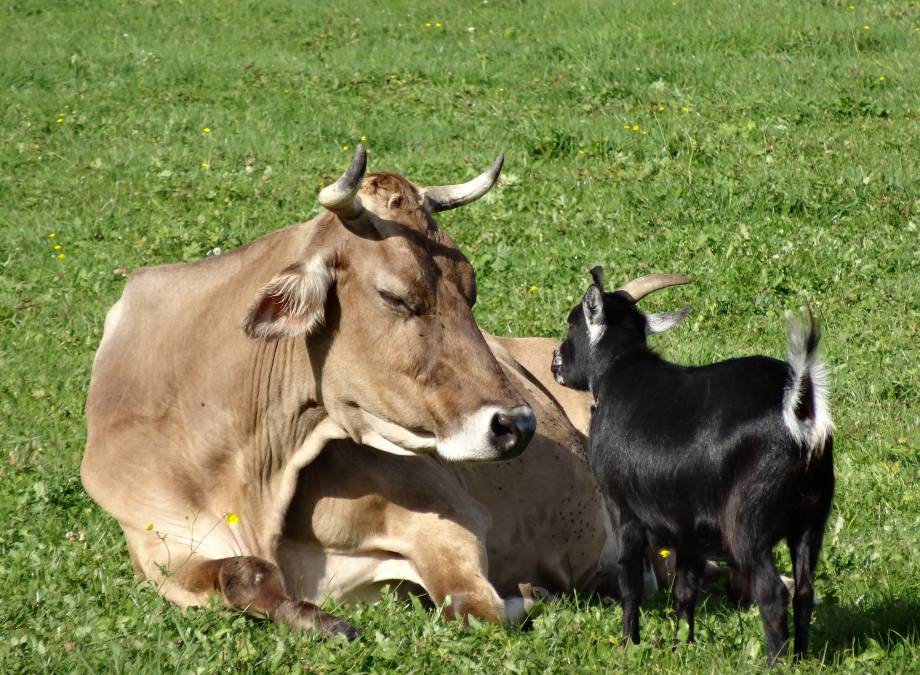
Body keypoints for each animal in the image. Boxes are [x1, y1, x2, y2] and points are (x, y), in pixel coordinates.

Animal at [548, 266, 836, 664]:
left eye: (572, 321)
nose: (554, 363)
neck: (620, 372)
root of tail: (799, 410)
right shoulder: (687, 526)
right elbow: (685, 590)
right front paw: (682, 646)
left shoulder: (622, 510)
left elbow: (631, 583)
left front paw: (628, 644)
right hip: (812, 519)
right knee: (805, 590)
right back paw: (801, 657)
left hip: (748, 523)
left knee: (773, 593)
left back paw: (774, 663)